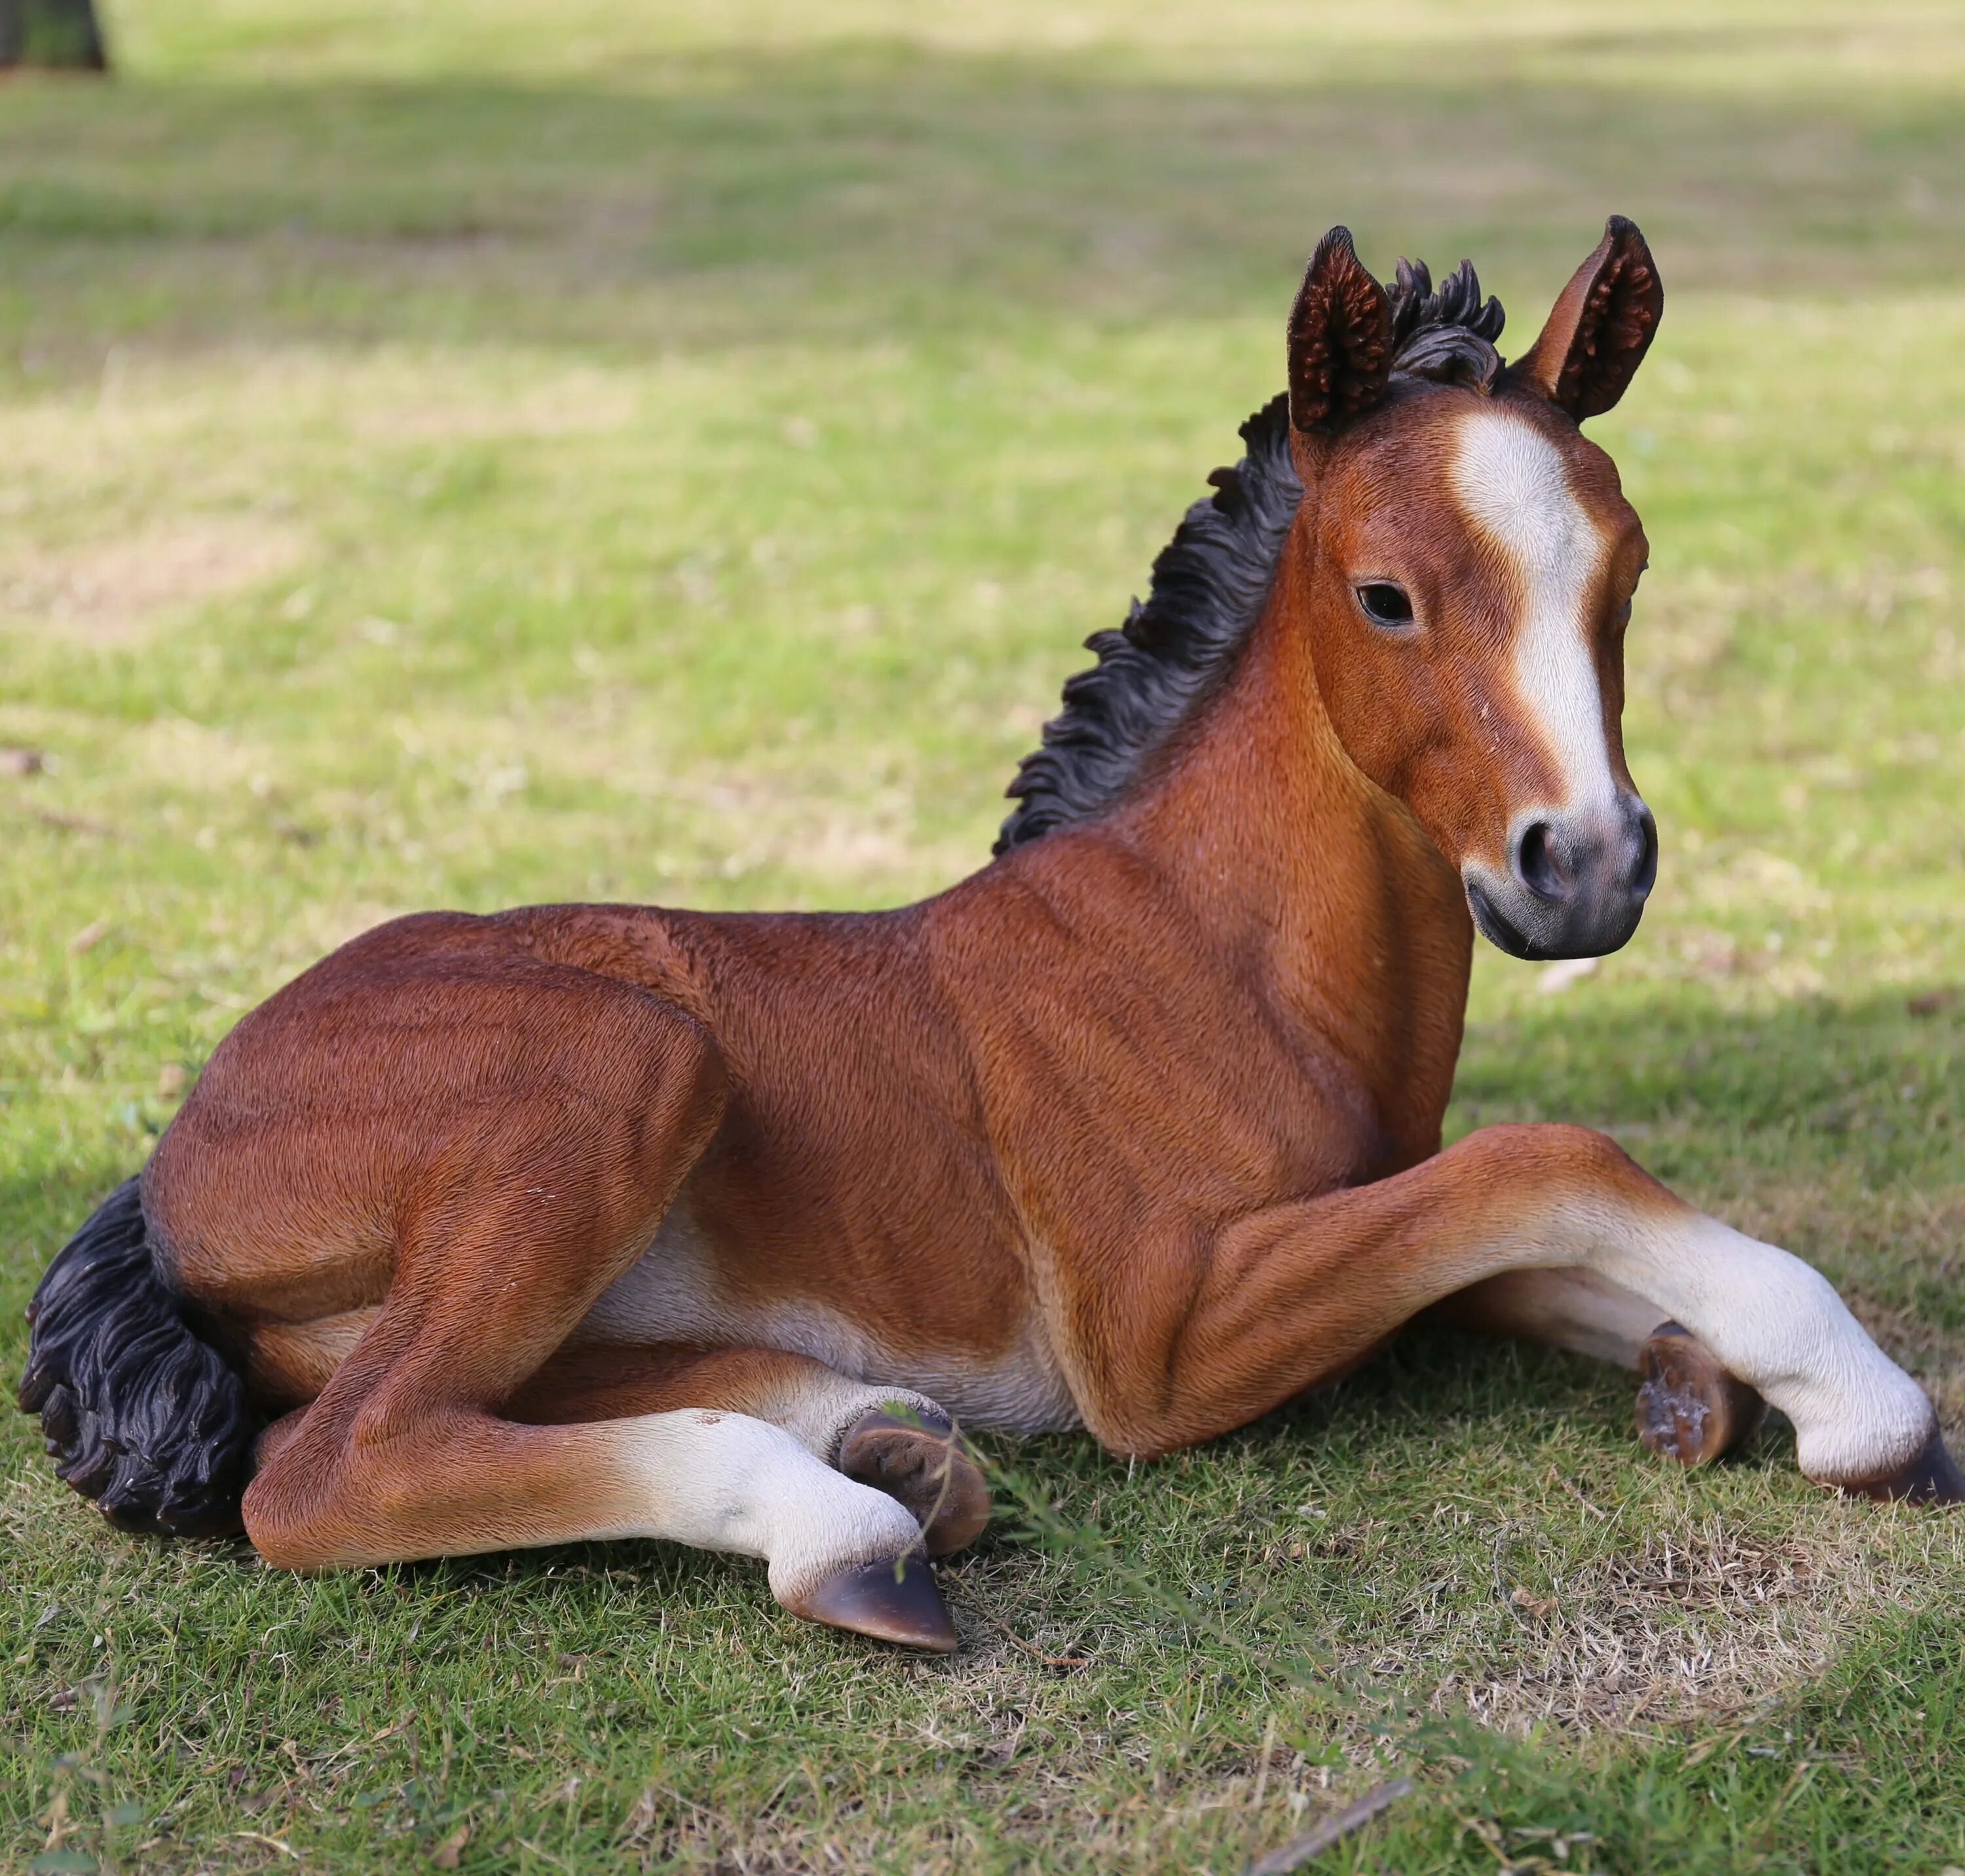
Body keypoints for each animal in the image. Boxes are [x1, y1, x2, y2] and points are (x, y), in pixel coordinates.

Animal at [23, 223, 1957, 1658]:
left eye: (1624, 573)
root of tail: (174, 1150)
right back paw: (843, 1523)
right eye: (1385, 594)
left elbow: (1532, 1249)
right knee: (338, 1465)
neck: (1208, 947)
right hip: (618, 1064)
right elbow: (1549, 1160)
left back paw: (879, 1435)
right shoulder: (1163, 1336)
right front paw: (1862, 1407)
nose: (1589, 869)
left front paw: (1695, 1380)